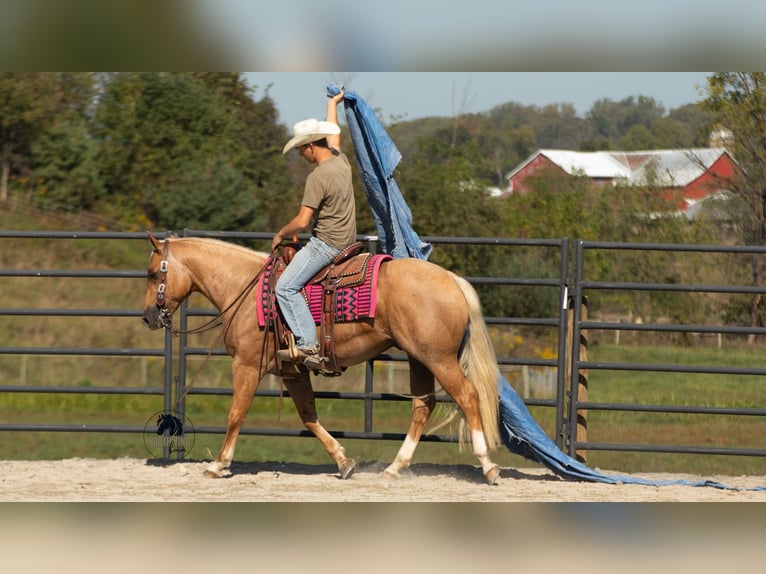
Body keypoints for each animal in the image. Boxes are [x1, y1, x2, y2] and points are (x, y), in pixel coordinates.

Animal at [141, 232, 503, 484]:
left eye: (152, 273)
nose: (147, 317)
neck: (244, 289)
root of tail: (452, 279)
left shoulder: (246, 365)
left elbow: (236, 415)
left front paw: (218, 465)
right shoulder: (293, 372)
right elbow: (308, 416)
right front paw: (344, 462)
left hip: (439, 359)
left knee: (467, 396)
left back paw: (488, 466)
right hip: (419, 359)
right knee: (422, 406)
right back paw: (394, 468)